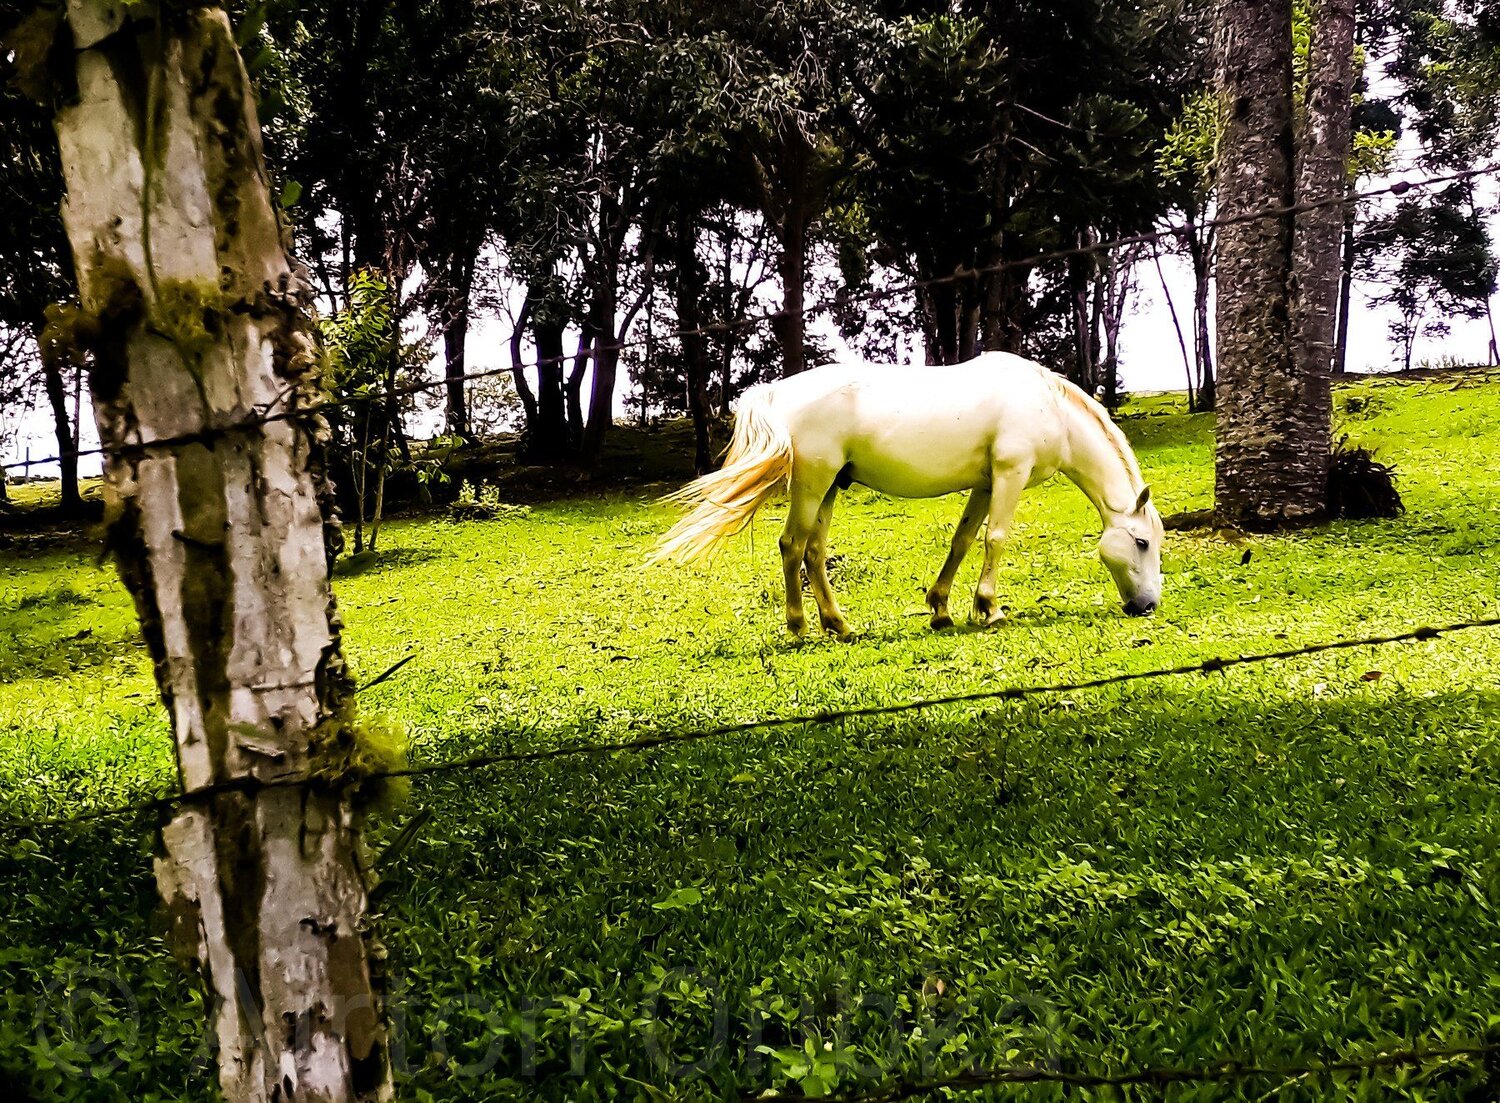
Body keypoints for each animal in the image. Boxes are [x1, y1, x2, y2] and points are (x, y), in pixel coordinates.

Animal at [651, 351, 1164, 640]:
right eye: (1141, 543)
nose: (1147, 606)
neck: (1050, 406)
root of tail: (777, 392)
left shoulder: (986, 482)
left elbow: (962, 540)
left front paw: (942, 609)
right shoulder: (1010, 474)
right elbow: (996, 539)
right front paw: (990, 609)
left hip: (830, 489)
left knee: (814, 552)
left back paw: (839, 625)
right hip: (813, 486)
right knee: (792, 547)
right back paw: (798, 627)